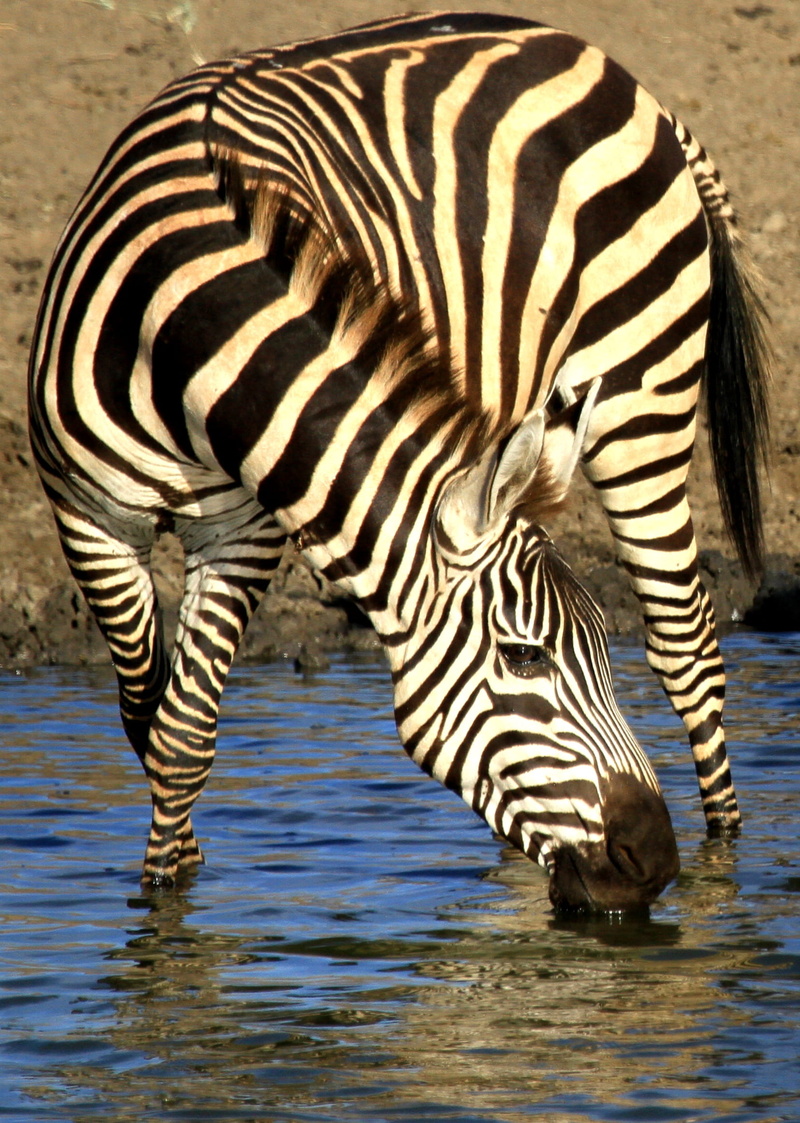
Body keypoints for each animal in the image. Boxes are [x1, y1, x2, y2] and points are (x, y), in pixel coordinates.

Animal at [28, 11, 769, 912]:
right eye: (525, 656)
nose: (653, 861)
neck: (178, 327)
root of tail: (595, 57)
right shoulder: (86, 520)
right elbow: (151, 716)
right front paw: (172, 890)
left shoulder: (247, 532)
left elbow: (185, 729)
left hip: (643, 395)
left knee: (687, 645)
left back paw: (726, 858)